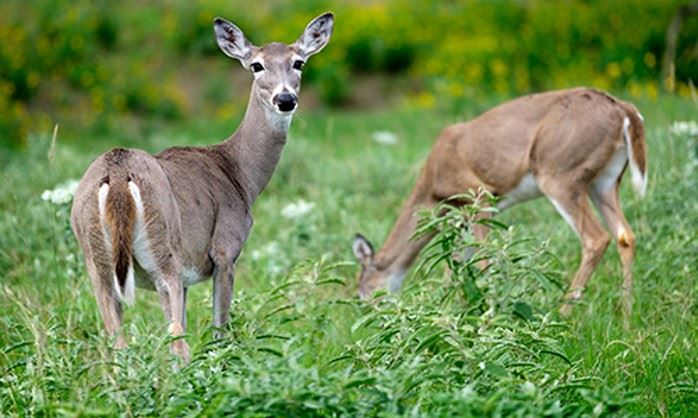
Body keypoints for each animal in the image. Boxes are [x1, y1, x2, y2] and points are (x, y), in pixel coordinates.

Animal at [70, 12, 334, 361]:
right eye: (257, 65)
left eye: (299, 62)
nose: (285, 99)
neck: (240, 175)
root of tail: (116, 175)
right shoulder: (224, 250)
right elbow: (219, 331)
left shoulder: (186, 277)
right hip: (163, 252)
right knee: (176, 344)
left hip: (97, 264)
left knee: (117, 346)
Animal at [352, 87, 647, 322]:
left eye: (362, 292)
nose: (373, 318)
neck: (431, 188)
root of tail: (623, 110)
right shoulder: (467, 213)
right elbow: (456, 263)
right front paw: (448, 310)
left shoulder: (479, 194)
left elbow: (482, 257)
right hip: (605, 181)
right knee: (625, 235)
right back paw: (627, 318)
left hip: (560, 174)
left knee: (596, 238)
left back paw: (561, 316)